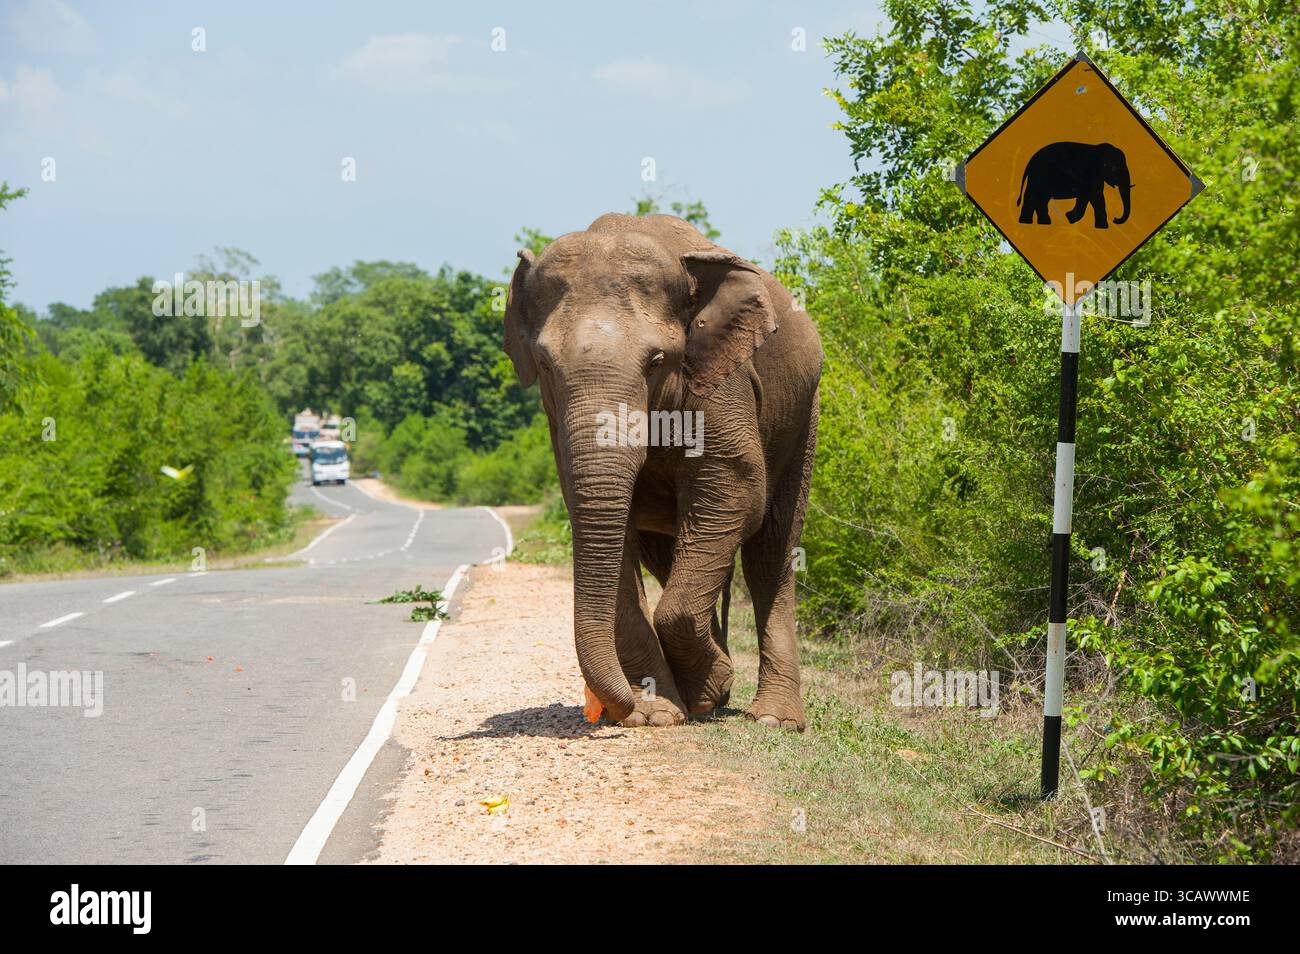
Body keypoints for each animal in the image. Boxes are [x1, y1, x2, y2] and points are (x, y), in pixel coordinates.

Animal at [503, 213, 823, 731]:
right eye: (546, 365)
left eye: (656, 362)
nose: (607, 711)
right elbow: (607, 522)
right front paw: (659, 712)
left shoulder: (720, 377)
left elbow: (735, 489)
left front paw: (703, 689)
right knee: (671, 553)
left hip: (804, 413)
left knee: (771, 552)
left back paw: (771, 718)